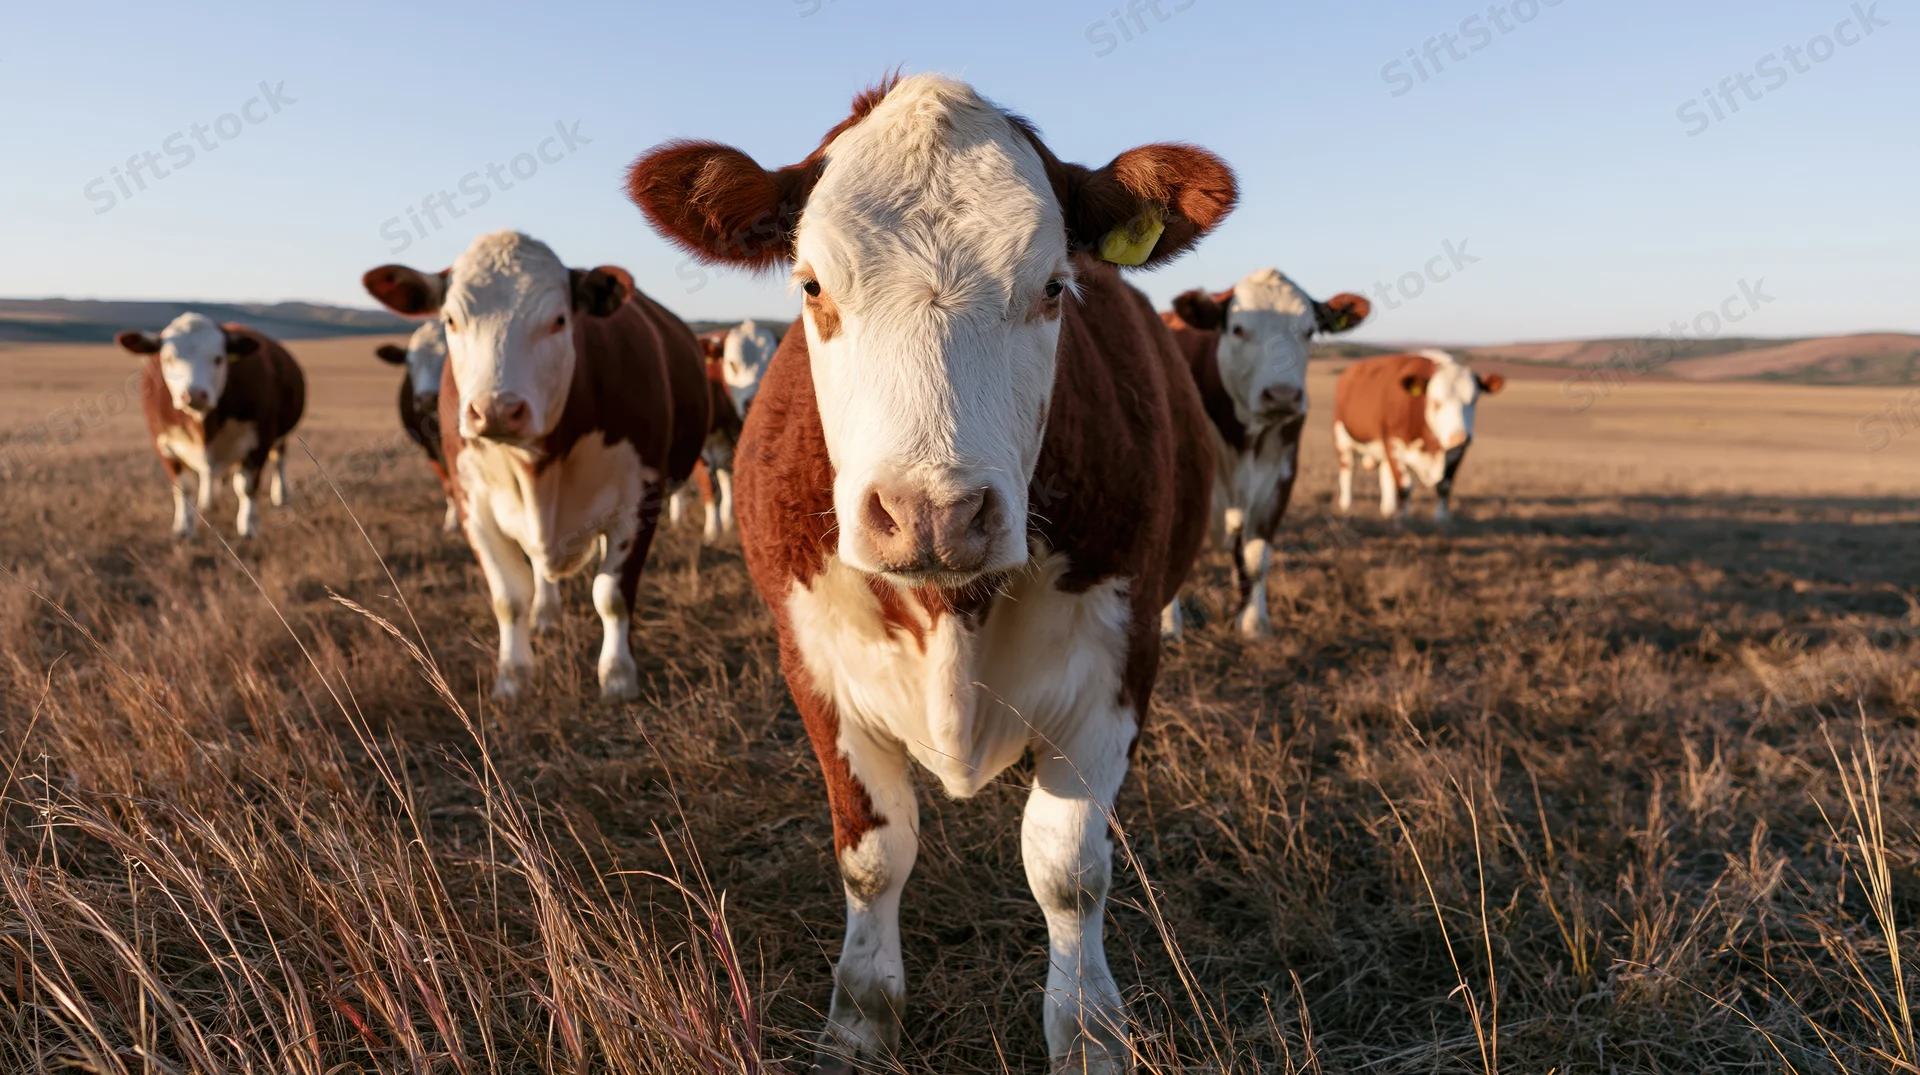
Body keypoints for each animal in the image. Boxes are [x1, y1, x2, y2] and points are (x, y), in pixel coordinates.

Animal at [115, 313, 304, 540]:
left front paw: (248, 526)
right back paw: (208, 502)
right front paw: (184, 527)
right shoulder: (163, 443)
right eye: (168, 359)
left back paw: (280, 495)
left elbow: (246, 486)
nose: (195, 394)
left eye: (218, 359)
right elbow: (183, 487)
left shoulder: (260, 438)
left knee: (279, 459)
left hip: (280, 434)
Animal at [374, 319, 460, 532]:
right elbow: (448, 480)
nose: (427, 398)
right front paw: (452, 520)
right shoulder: (429, 446)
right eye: (410, 363)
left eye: (447, 359)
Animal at [626, 72, 1233, 1072]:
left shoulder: (1121, 662)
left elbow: (1069, 869)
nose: (933, 512)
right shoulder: (813, 665)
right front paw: (858, 1024)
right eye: (813, 283)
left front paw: (1089, 1030)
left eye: (1055, 287)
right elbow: (873, 854)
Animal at [1161, 270, 1369, 636]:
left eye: (1309, 331)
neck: (1243, 439)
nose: (1283, 394)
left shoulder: (1279, 478)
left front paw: (1253, 622)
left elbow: (1256, 556)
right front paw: (1169, 626)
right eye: (1238, 329)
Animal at [1332, 349, 1504, 521]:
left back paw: (1388, 508)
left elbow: (1444, 485)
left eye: (1473, 400)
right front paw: (1403, 518)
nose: (1460, 437)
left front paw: (1442, 519)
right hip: (1342, 438)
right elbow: (1404, 486)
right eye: (1436, 402)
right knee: (1347, 468)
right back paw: (1346, 504)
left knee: (1385, 474)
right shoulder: (1393, 444)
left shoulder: (1456, 452)